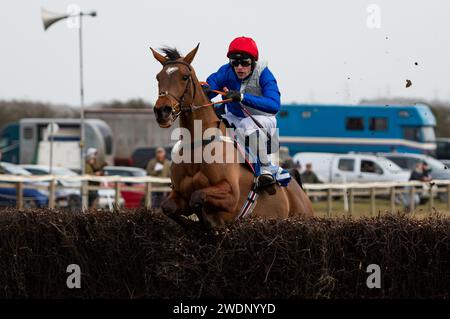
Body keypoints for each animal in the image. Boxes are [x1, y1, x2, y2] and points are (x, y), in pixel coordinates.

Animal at [150, 45, 312, 230]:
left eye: (184, 77)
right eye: (158, 77)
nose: (162, 111)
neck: (198, 144)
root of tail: (298, 189)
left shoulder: (231, 195)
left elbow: (198, 197)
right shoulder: (178, 193)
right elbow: (168, 207)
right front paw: (195, 225)